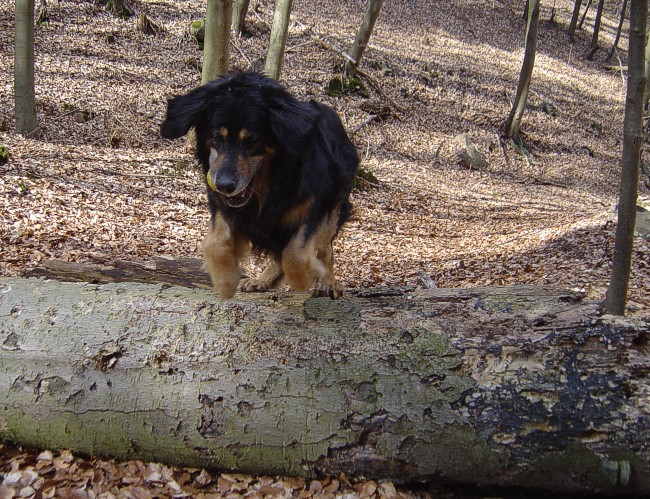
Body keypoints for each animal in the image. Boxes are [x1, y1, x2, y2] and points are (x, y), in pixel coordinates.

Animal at [159, 73, 356, 300]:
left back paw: (328, 282)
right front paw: (226, 280)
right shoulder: (224, 207)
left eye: (251, 140)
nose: (224, 185)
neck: (270, 185)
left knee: (323, 248)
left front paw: (308, 275)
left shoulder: (318, 205)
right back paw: (264, 279)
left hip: (337, 204)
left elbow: (296, 255)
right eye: (217, 137)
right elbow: (215, 243)